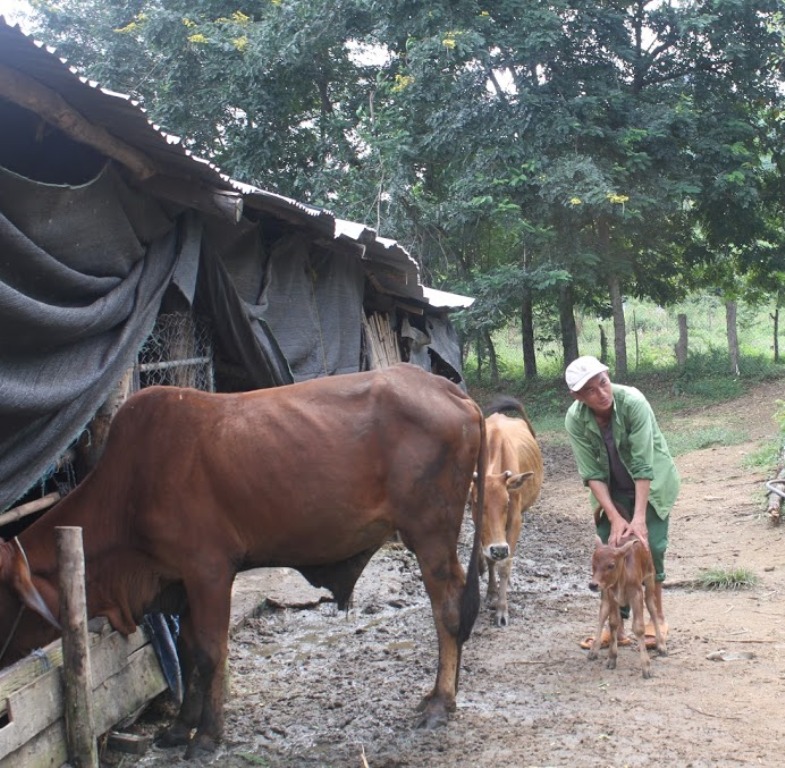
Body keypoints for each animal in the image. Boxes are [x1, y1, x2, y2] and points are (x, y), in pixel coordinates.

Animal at [0, 364, 484, 756]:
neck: (128, 489)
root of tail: (446, 388)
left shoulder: (209, 571)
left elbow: (211, 651)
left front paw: (207, 736)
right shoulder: (178, 582)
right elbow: (188, 650)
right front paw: (179, 728)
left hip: (431, 534)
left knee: (448, 610)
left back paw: (441, 701)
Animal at [468, 392, 544, 628]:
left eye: (507, 501)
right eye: (476, 501)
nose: (499, 549)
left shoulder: (515, 520)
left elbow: (505, 564)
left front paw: (502, 610)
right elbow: (490, 559)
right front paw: (492, 593)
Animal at [588, 536, 668, 680]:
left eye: (611, 565)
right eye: (593, 563)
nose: (593, 585)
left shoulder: (637, 594)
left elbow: (639, 628)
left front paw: (646, 667)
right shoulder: (610, 593)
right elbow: (613, 622)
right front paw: (612, 658)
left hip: (650, 576)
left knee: (652, 607)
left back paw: (661, 645)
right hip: (605, 593)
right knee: (603, 612)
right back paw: (594, 649)